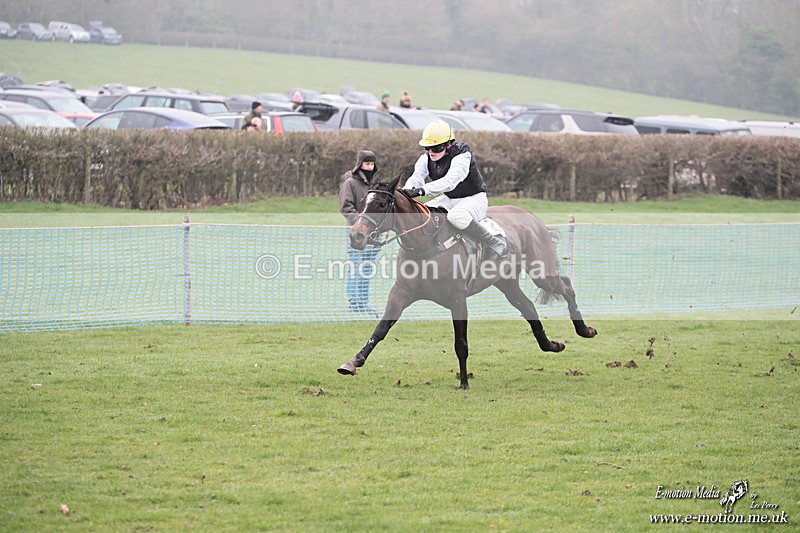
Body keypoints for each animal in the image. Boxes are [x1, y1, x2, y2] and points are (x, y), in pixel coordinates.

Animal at [336, 175, 597, 389]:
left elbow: (460, 342)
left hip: (541, 272)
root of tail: (531, 217)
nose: (356, 236)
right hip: (506, 282)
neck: (425, 243)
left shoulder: (457, 298)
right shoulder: (401, 292)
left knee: (566, 285)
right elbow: (380, 330)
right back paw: (551, 345)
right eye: (363, 202)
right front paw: (353, 362)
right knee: (528, 307)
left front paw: (463, 382)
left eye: (381, 204)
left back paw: (584, 329)